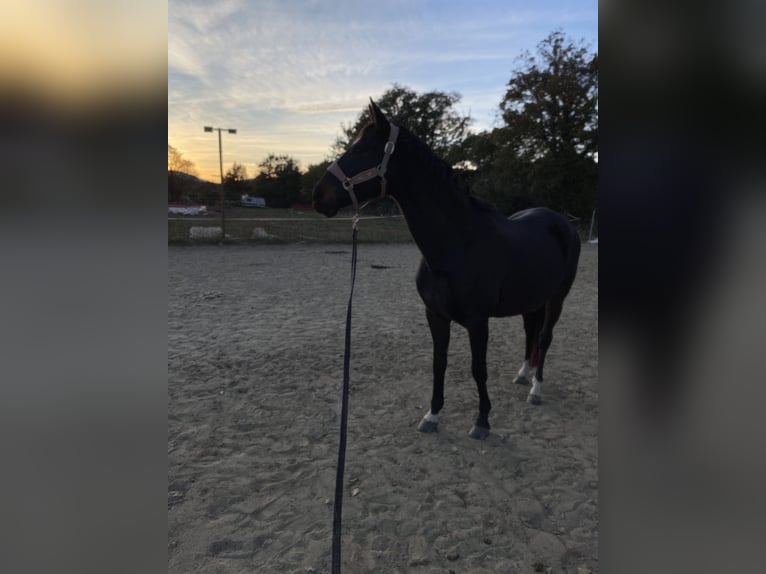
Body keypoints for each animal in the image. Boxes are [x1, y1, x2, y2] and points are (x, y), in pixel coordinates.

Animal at [313, 100, 581, 439]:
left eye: (362, 150)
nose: (317, 196)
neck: (456, 245)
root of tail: (563, 223)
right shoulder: (435, 316)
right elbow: (438, 363)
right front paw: (432, 415)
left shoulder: (478, 322)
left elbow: (478, 369)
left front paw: (482, 421)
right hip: (531, 299)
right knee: (530, 331)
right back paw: (523, 374)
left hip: (558, 297)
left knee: (544, 337)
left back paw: (536, 388)